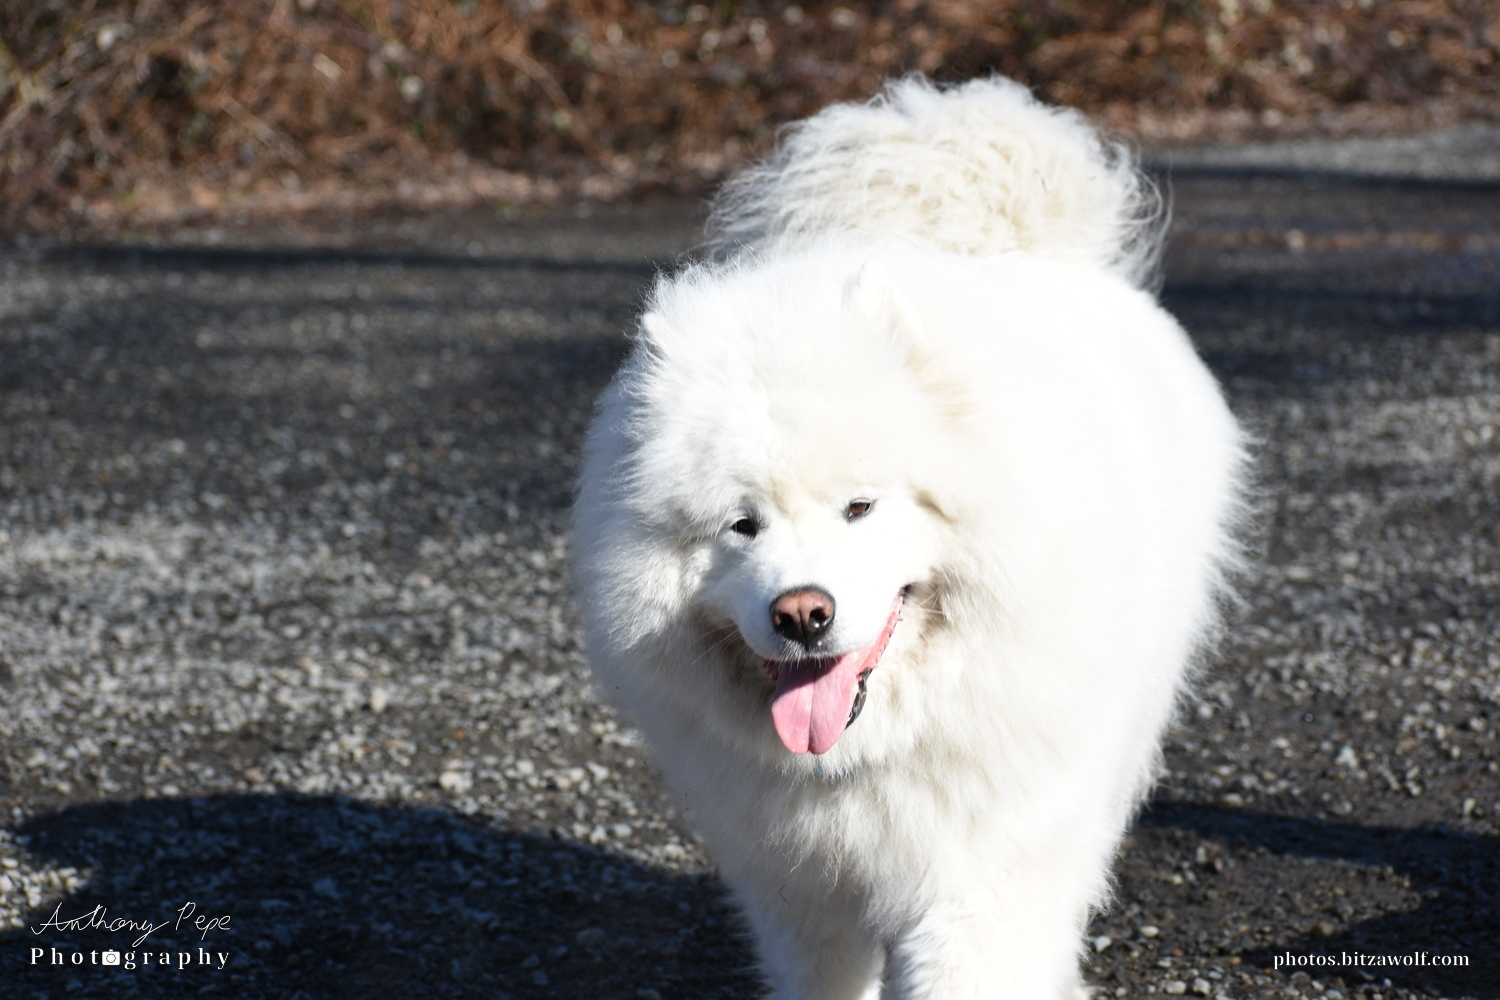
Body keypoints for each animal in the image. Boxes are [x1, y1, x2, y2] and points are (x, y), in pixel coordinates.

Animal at [573, 76, 1245, 999]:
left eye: (860, 507)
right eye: (742, 525)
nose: (801, 614)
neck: (868, 755)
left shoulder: (980, 887)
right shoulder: (799, 899)